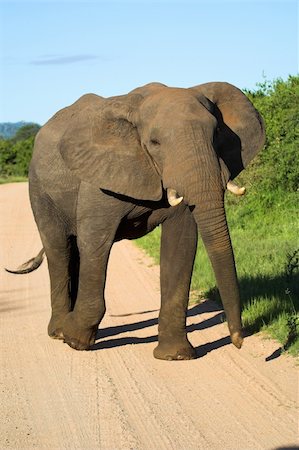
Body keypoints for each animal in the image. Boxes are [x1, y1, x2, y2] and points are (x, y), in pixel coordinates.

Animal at [25, 82, 264, 360]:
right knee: (59, 248)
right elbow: (95, 240)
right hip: (39, 190)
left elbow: (181, 242)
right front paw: (75, 340)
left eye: (216, 133)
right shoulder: (99, 177)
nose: (238, 341)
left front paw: (176, 356)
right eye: (155, 142)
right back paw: (58, 332)